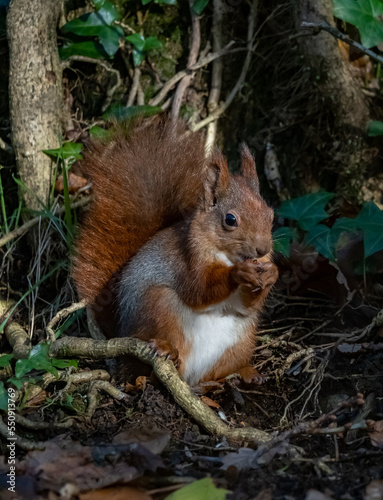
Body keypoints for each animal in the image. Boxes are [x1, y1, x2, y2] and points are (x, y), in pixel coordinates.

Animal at [72, 117, 280, 386]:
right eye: (230, 219)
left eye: (270, 215)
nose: (263, 249)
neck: (229, 256)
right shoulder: (186, 261)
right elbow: (199, 290)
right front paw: (238, 273)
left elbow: (248, 306)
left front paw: (272, 273)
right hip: (159, 306)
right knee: (152, 368)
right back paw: (168, 352)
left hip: (241, 340)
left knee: (216, 373)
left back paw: (243, 373)